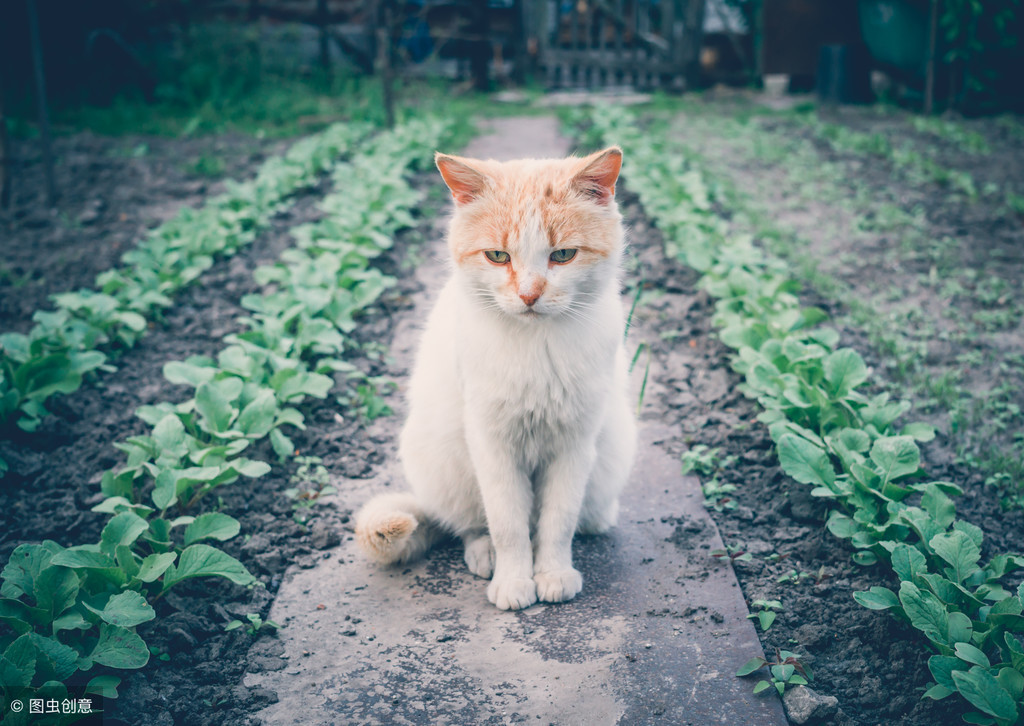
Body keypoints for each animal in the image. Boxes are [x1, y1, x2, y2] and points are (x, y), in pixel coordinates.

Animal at [356, 144, 634, 610]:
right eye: (498, 256)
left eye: (563, 255)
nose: (529, 295)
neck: (536, 347)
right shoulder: (491, 444)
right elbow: (508, 523)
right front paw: (514, 580)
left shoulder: (574, 444)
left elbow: (558, 520)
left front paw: (552, 573)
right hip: (445, 457)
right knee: (468, 524)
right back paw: (483, 554)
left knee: (577, 519)